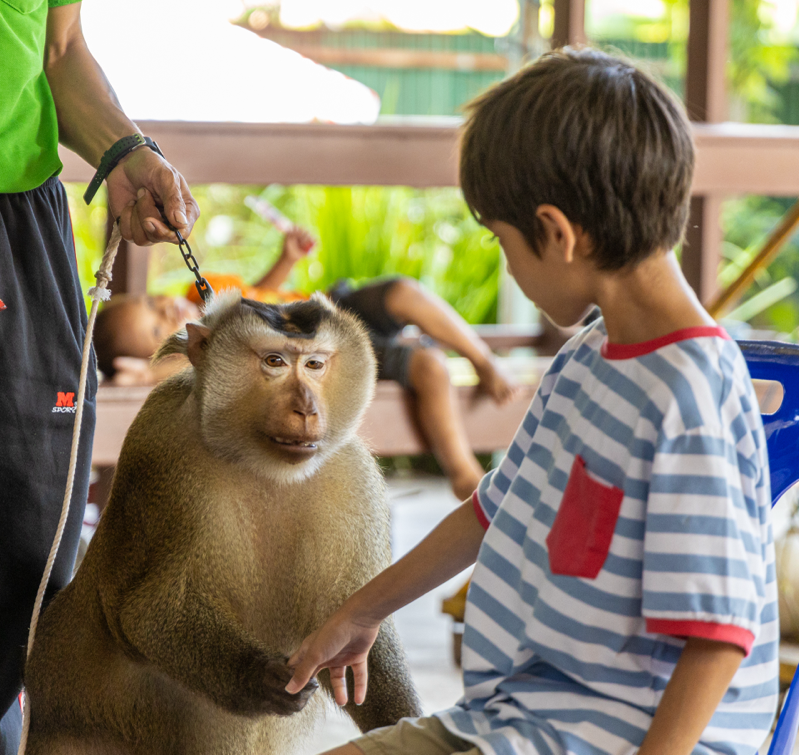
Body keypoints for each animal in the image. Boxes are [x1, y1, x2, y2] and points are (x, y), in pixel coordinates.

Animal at [23, 290, 424, 755]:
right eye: (274, 361)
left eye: (314, 364)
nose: (306, 409)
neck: (262, 465)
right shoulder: (166, 460)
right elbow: (148, 613)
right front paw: (259, 678)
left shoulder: (350, 474)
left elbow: (352, 620)